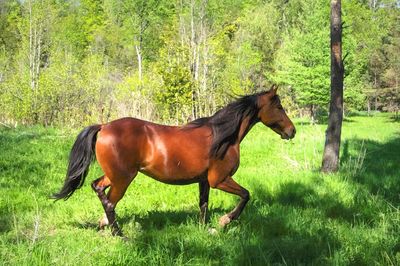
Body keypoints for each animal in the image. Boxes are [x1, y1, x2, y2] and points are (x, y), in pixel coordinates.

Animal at [53, 86, 296, 236]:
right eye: (279, 106)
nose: (292, 131)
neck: (223, 136)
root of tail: (103, 126)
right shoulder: (220, 180)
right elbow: (246, 195)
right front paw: (225, 220)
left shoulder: (204, 181)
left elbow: (203, 205)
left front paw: (205, 229)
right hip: (123, 178)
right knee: (110, 202)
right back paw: (119, 234)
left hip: (114, 175)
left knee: (98, 188)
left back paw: (103, 224)